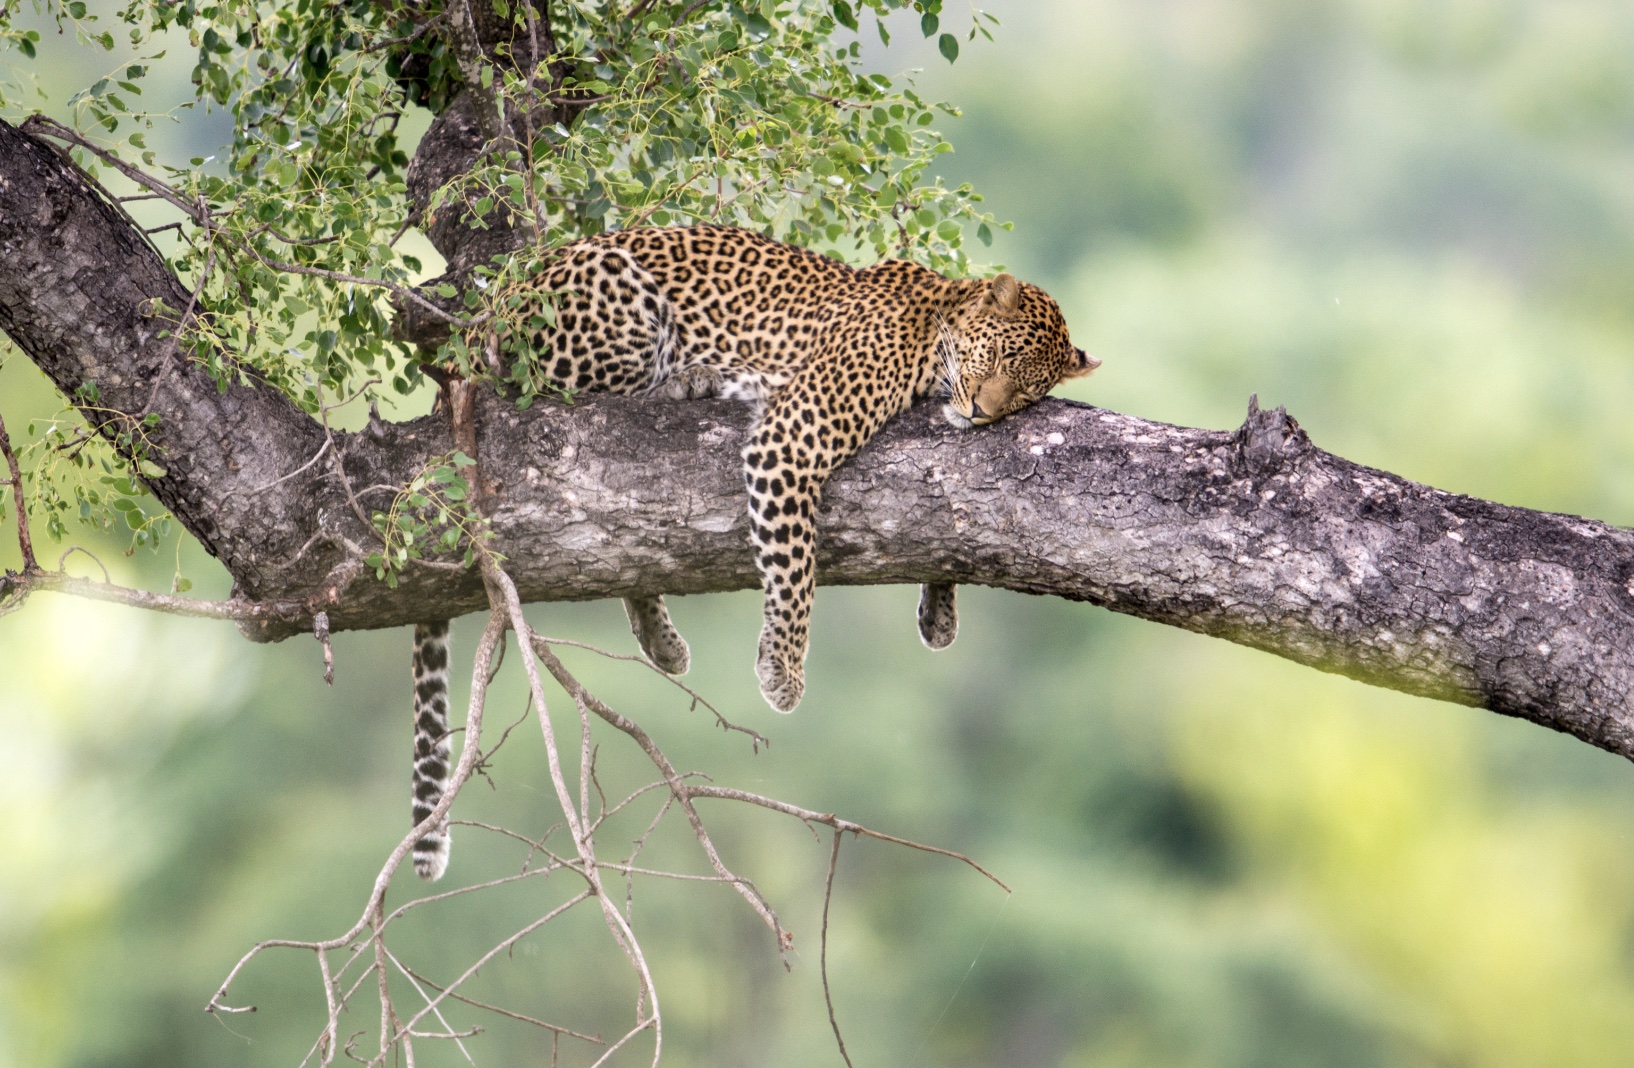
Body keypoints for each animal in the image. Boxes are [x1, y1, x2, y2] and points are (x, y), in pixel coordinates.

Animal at [407, 224, 1098, 878]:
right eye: (1001, 354)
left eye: (1027, 393)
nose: (982, 412)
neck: (935, 326)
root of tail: (500, 302)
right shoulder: (791, 438)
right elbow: (795, 566)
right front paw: (782, 672)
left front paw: (940, 612)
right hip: (611, 309)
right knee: (583, 402)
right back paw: (693, 378)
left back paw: (660, 637)